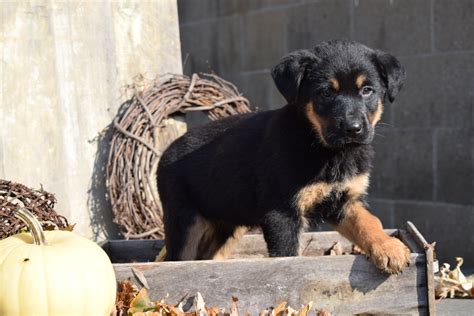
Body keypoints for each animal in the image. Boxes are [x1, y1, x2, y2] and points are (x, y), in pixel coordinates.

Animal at [158, 40, 412, 274]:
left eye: (367, 90)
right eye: (326, 92)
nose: (353, 128)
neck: (324, 148)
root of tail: (166, 152)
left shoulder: (343, 201)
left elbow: (368, 221)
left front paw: (389, 247)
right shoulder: (282, 213)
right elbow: (288, 255)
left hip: (227, 223)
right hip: (184, 221)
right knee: (179, 259)